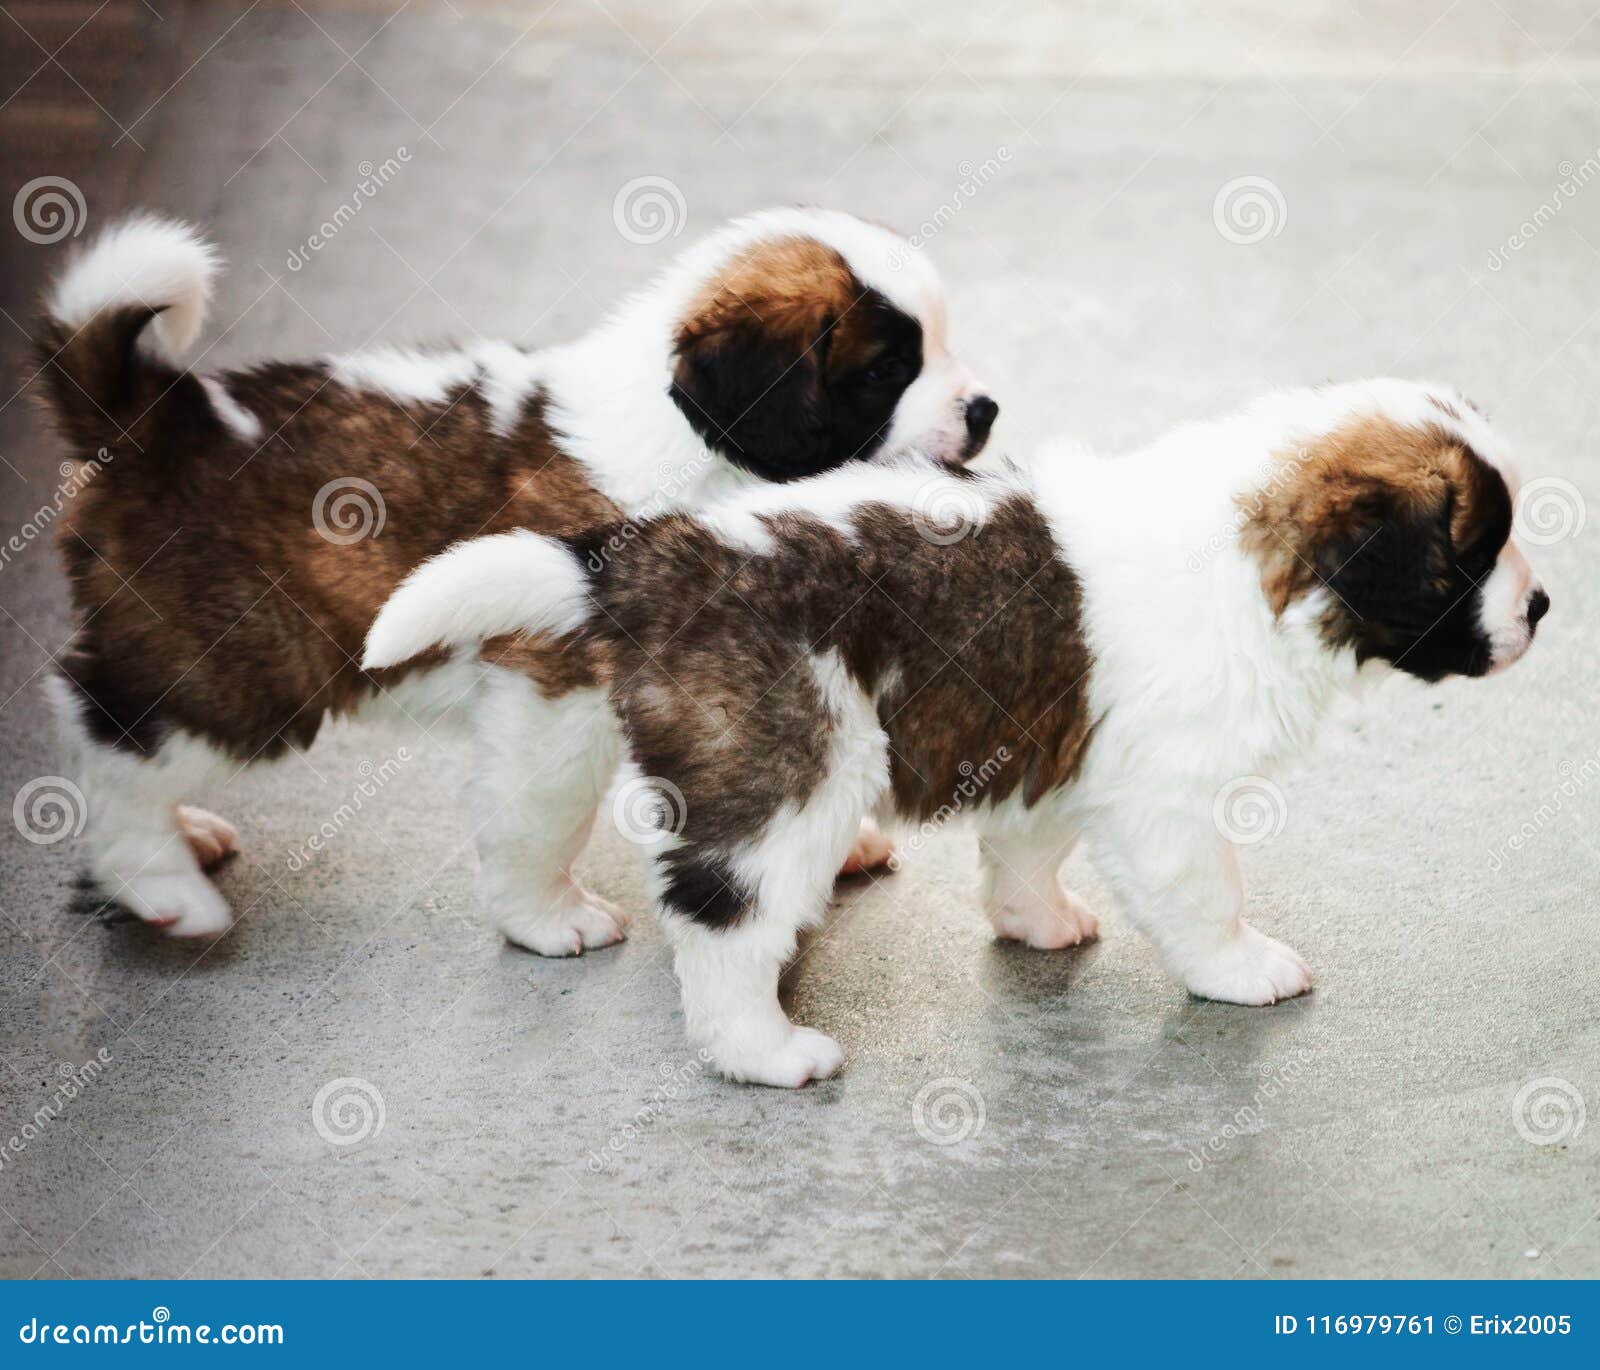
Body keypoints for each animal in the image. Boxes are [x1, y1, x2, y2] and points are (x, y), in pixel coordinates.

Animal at [31, 208, 992, 947]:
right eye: (885, 372)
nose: (986, 409)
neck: (691, 446)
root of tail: (162, 416)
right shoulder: (551, 682)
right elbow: (543, 811)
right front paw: (547, 917)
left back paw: (182, 837)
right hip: (247, 662)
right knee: (108, 725)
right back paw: (160, 883)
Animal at [366, 374, 1548, 1081]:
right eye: (1470, 552)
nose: (1540, 607)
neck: (1262, 564)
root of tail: (662, 551)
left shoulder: (1057, 740)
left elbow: (1027, 842)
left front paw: (1034, 918)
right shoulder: (1164, 791)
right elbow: (1205, 890)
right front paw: (1241, 966)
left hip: (567, 739)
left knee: (521, 827)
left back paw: (547, 920)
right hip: (790, 777)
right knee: (726, 922)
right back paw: (765, 1050)